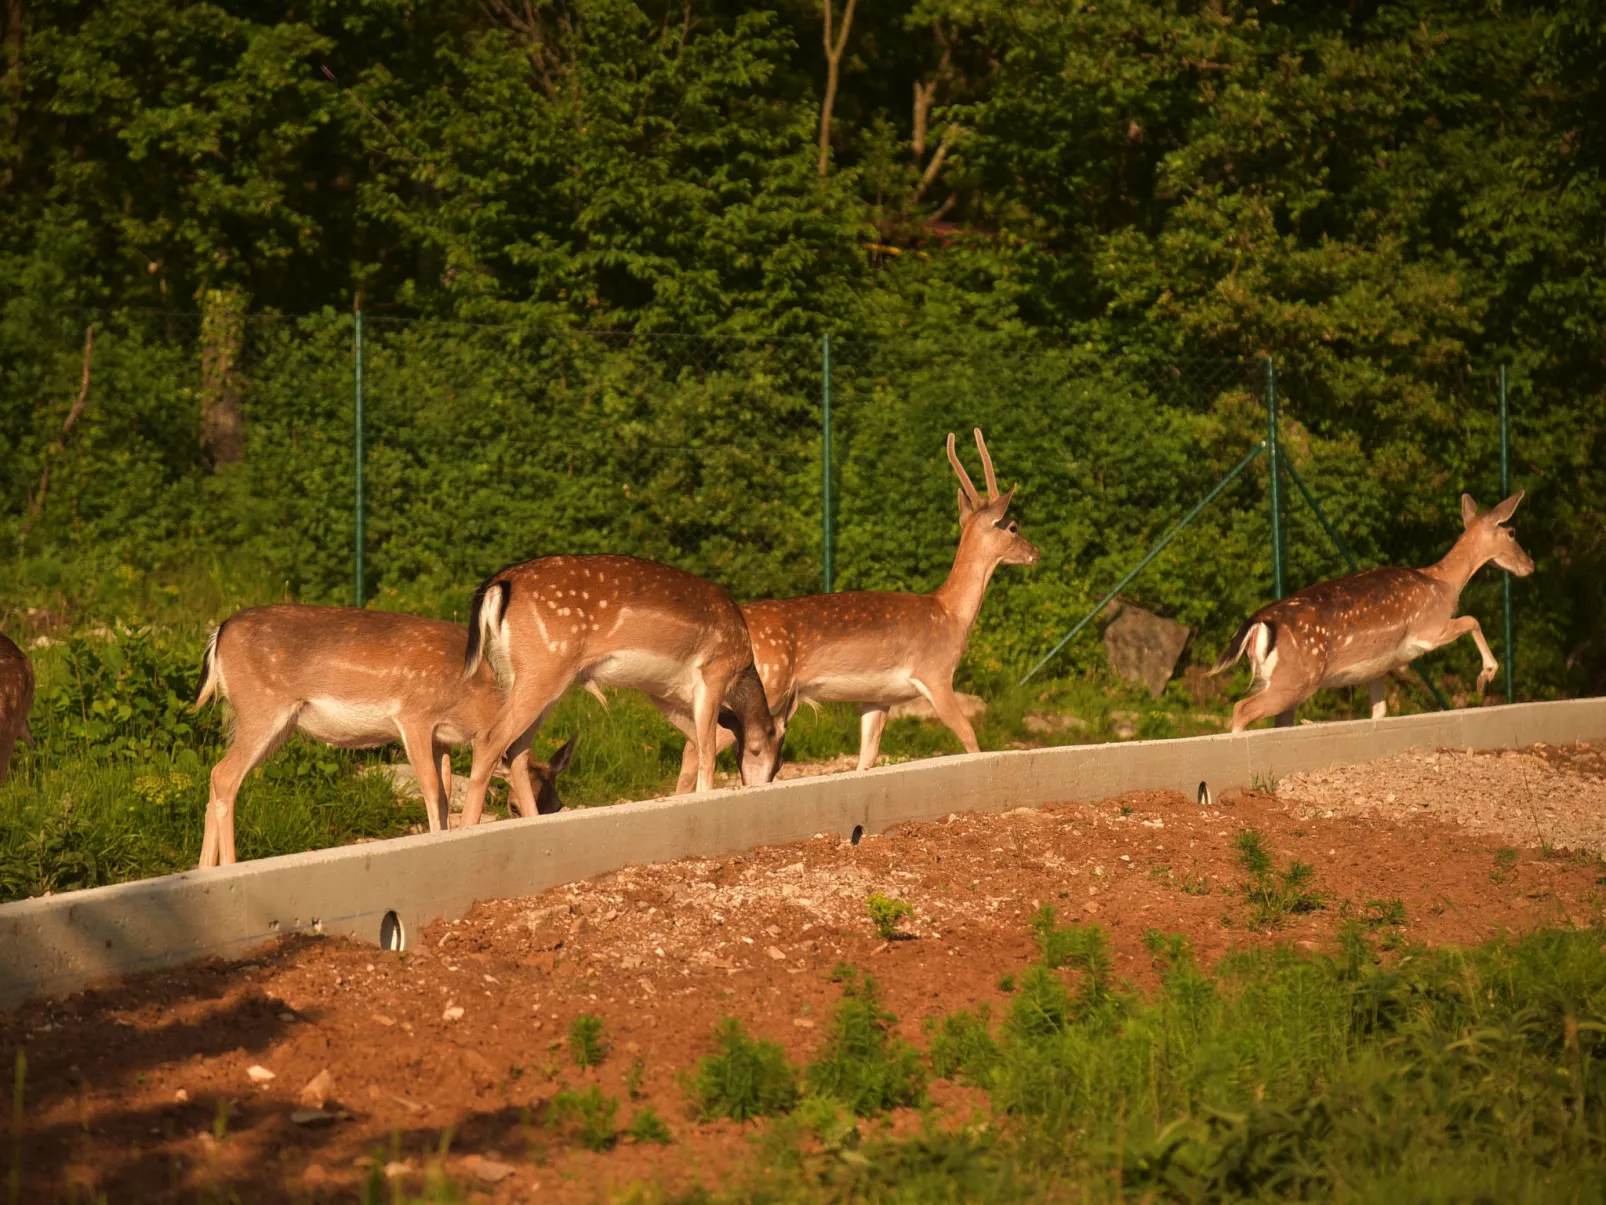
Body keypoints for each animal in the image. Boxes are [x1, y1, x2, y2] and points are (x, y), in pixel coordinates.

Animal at [192, 607, 578, 874]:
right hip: (262, 708)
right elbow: (432, 791)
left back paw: (204, 871)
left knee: (215, 775)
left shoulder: (442, 741)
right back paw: (229, 867)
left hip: (267, 721)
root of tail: (218, 635)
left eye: (558, 805)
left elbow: (445, 793)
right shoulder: (414, 716)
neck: (472, 700)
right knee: (225, 775)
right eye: (512, 807)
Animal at [456, 555, 786, 822]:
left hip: (524, 674)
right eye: (778, 758)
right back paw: (469, 826)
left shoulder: (663, 692)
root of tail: (500, 583)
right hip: (545, 663)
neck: (743, 664)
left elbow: (694, 747)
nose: (760, 786)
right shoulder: (713, 672)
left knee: (517, 747)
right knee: (490, 738)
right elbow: (708, 753)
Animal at [668, 430, 1034, 787]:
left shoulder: (878, 697)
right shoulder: (935, 673)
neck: (950, 614)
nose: (1035, 552)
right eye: (1013, 526)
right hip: (768, 681)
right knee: (695, 749)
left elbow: (866, 759)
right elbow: (970, 738)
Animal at [1207, 491, 1535, 735]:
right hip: (1296, 679)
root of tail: (1258, 624)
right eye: (1512, 531)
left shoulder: (1376, 669)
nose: (1530, 564)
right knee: (1240, 709)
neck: (1444, 583)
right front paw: (1485, 677)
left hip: (1286, 682)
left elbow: (1379, 711)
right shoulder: (1428, 629)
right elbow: (1471, 620)